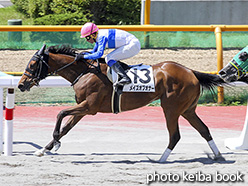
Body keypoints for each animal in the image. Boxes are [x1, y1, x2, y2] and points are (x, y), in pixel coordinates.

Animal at [17, 44, 227, 162]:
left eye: (33, 64)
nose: (20, 84)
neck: (84, 72)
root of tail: (191, 72)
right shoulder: (83, 110)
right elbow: (65, 129)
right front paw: (43, 150)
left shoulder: (89, 107)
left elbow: (60, 114)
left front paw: (54, 143)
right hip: (188, 110)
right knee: (204, 130)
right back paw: (218, 156)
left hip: (171, 108)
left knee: (175, 136)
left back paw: (160, 159)